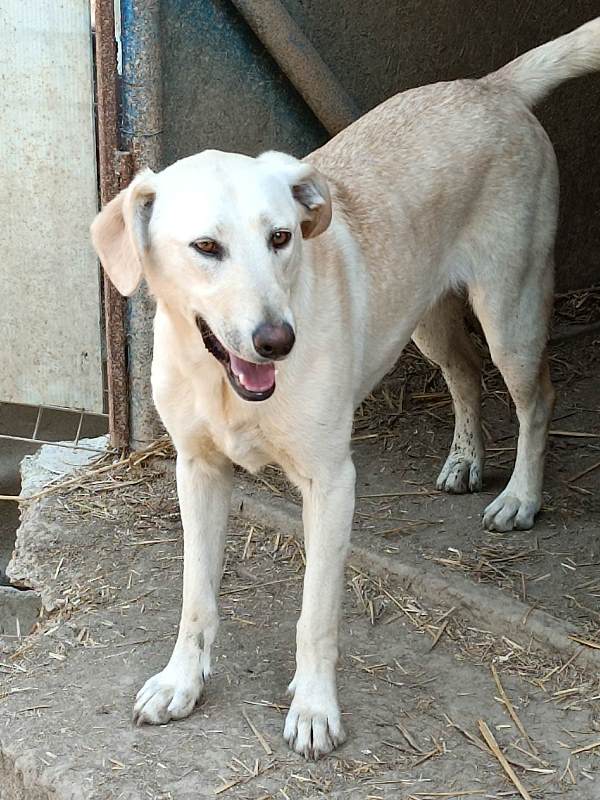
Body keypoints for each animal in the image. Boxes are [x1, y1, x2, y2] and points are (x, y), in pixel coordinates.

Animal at [91, 18, 600, 756]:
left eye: (281, 237)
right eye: (206, 247)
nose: (278, 340)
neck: (222, 382)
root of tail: (488, 85)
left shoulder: (332, 482)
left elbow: (316, 612)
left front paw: (313, 710)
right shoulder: (197, 470)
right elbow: (195, 596)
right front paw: (182, 682)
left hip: (512, 308)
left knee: (538, 398)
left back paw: (520, 498)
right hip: (425, 321)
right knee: (466, 375)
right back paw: (465, 461)